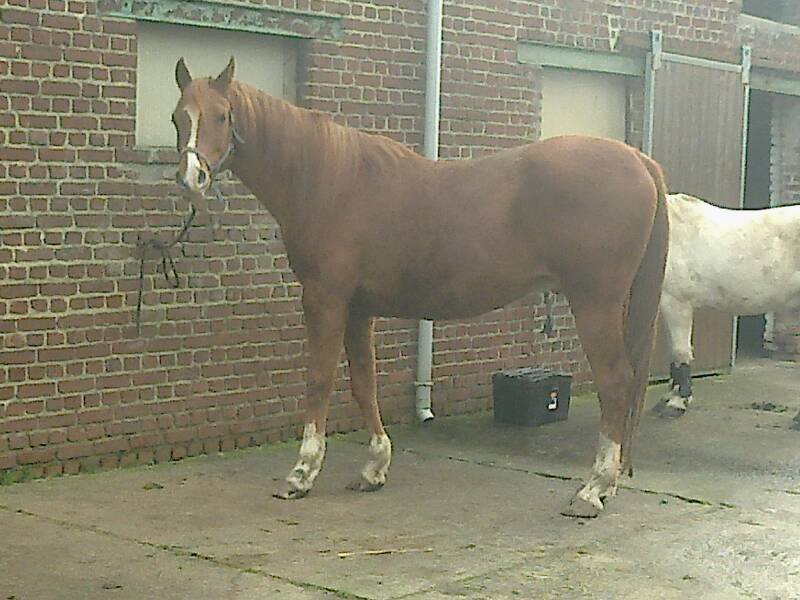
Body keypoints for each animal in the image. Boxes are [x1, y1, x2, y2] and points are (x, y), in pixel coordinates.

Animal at [170, 57, 669, 518]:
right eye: (178, 117)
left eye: (222, 116)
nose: (191, 180)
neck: (329, 180)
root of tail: (638, 160)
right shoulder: (358, 308)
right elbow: (363, 383)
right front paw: (374, 468)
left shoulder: (325, 299)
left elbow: (319, 380)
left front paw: (301, 473)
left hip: (595, 303)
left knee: (615, 383)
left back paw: (592, 490)